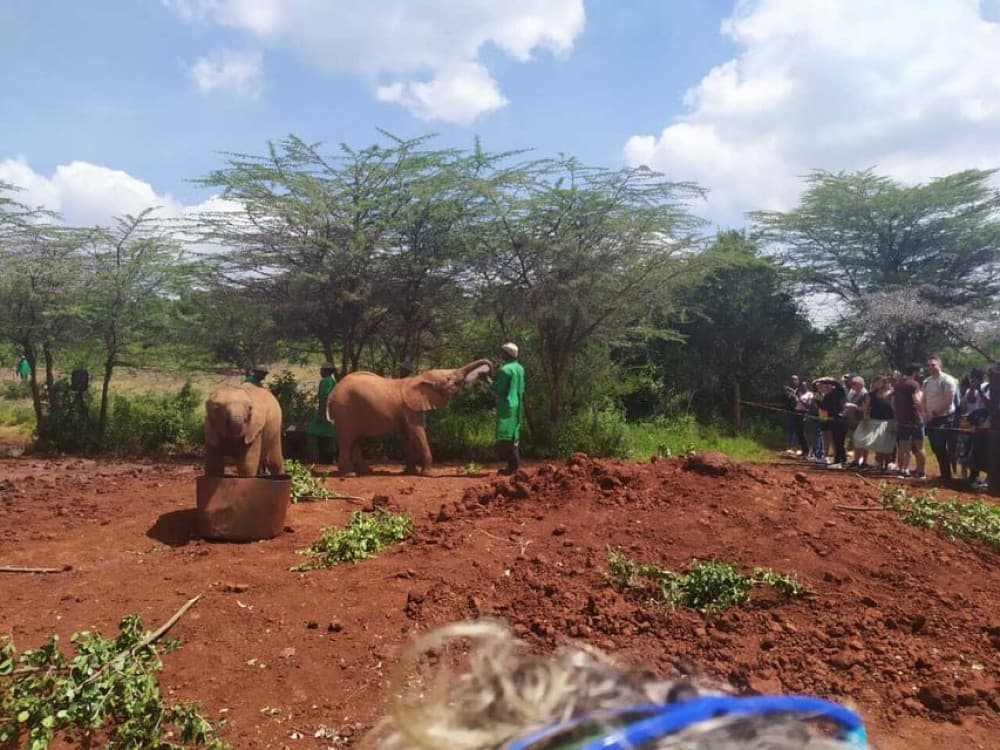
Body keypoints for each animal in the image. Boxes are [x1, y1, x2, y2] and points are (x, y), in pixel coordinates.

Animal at [326, 358, 494, 476]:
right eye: (448, 379)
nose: (487, 374)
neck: (419, 378)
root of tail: (332, 394)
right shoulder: (410, 408)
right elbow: (417, 431)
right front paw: (428, 474)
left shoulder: (405, 410)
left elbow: (406, 435)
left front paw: (410, 472)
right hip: (345, 410)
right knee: (347, 439)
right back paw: (350, 474)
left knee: (356, 440)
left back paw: (366, 471)